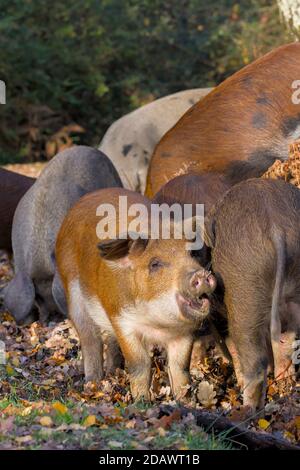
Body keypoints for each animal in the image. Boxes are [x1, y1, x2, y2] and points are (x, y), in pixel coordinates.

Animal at [55, 187, 216, 400]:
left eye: (193, 254)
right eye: (155, 264)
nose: (200, 275)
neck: (158, 325)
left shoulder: (185, 331)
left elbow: (180, 367)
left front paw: (184, 400)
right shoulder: (122, 319)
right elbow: (140, 364)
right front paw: (142, 401)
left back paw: (112, 372)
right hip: (72, 292)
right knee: (90, 339)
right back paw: (93, 383)